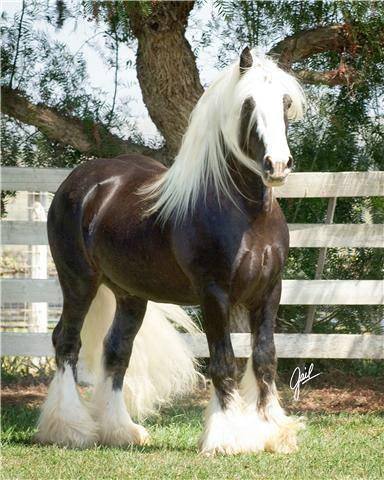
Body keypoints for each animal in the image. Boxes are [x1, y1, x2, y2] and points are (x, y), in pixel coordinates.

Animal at [36, 47, 306, 456]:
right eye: (248, 104)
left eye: (285, 102)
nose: (277, 165)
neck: (247, 215)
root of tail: (81, 181)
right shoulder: (214, 295)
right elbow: (223, 362)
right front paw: (225, 437)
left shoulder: (269, 292)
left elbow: (264, 359)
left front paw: (273, 432)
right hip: (78, 283)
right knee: (67, 342)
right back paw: (69, 429)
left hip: (130, 295)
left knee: (116, 351)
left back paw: (121, 431)